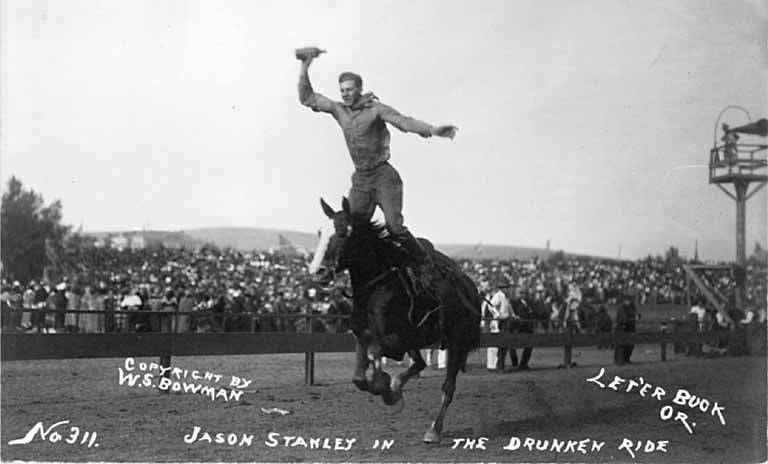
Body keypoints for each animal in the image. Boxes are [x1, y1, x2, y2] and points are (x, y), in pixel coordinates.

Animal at [308, 196, 480, 442]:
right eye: (320, 232)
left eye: (343, 233)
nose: (318, 271)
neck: (378, 286)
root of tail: (469, 287)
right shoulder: (362, 336)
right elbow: (359, 376)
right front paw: (389, 390)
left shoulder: (395, 341)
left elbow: (375, 357)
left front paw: (386, 389)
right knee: (419, 363)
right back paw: (398, 386)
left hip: (457, 342)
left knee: (448, 387)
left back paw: (434, 429)